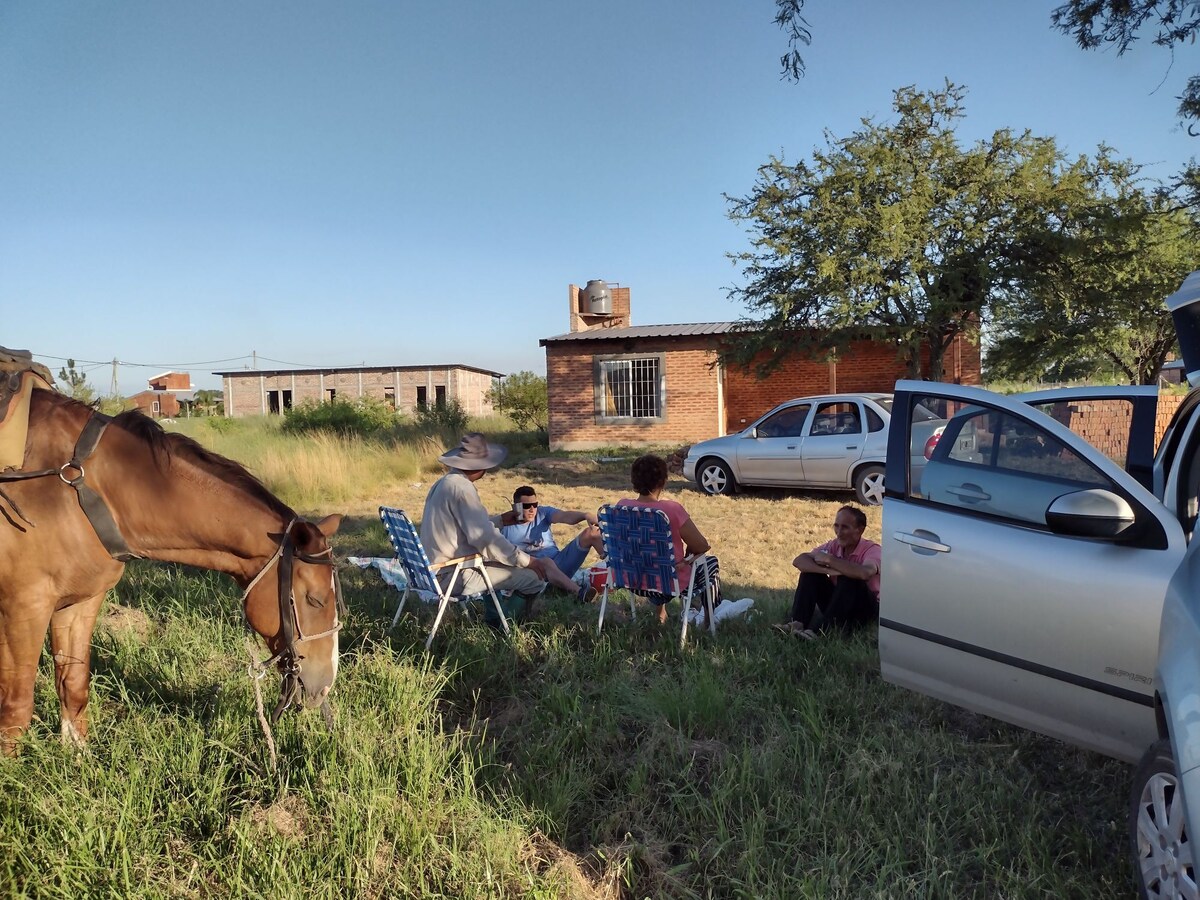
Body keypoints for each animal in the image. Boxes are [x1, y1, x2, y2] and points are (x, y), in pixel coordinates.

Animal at [0, 391, 343, 748]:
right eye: (315, 600)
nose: (325, 685)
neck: (86, 490)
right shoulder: (25, 607)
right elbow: (16, 712)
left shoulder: (79, 603)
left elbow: (73, 688)